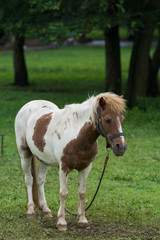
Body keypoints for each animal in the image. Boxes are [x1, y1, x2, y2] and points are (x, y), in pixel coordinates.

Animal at [15, 92, 127, 231]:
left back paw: (45, 210)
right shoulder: (64, 168)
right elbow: (63, 193)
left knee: (40, 180)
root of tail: (27, 105)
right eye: (107, 119)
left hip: (45, 159)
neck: (77, 135)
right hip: (24, 154)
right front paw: (62, 222)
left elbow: (82, 193)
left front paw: (82, 220)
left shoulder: (85, 167)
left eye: (122, 119)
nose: (121, 147)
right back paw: (30, 211)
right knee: (29, 180)